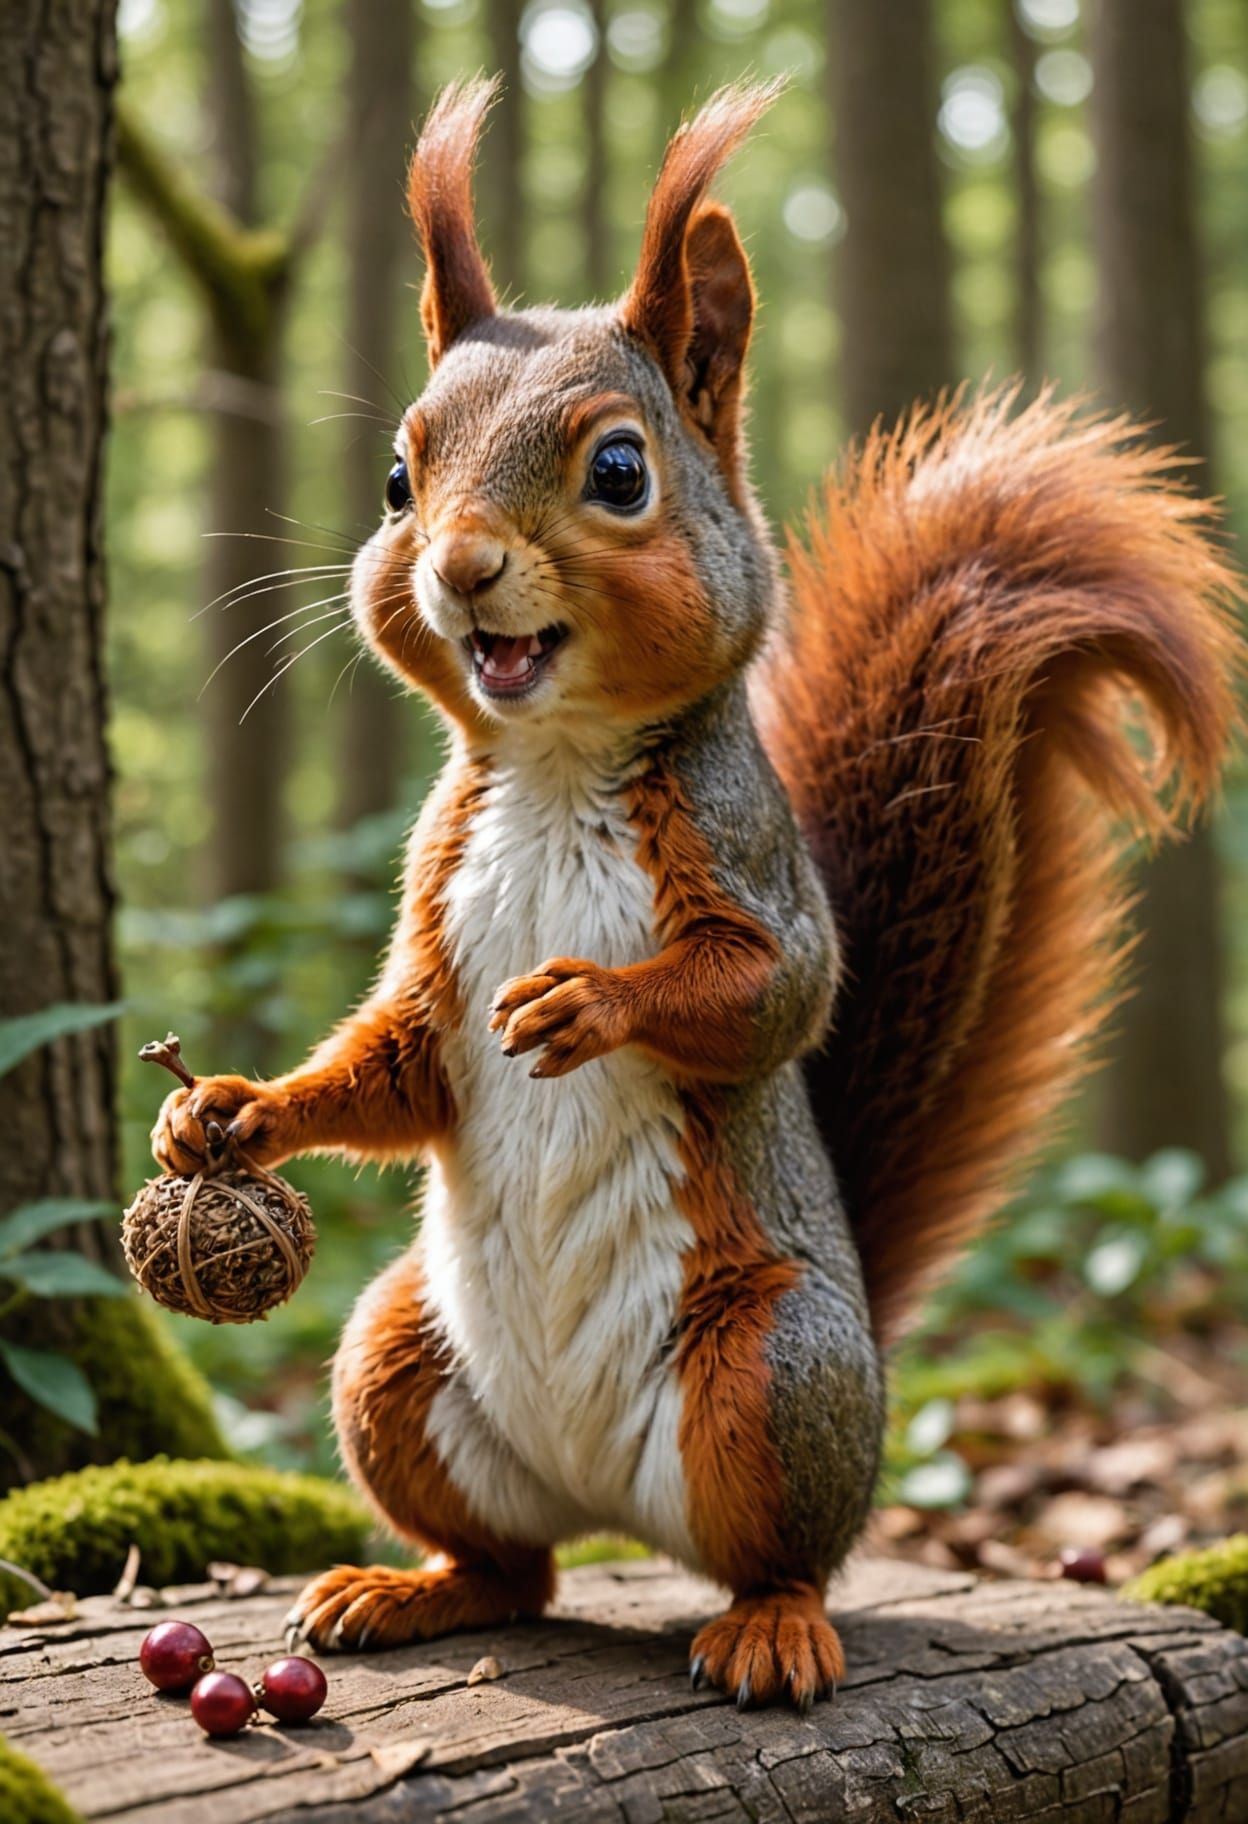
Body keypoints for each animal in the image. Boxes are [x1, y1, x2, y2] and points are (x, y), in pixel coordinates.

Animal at [152, 79, 1241, 1710]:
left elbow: (775, 994)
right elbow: (396, 1064)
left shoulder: (750, 860)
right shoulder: (432, 918)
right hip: (395, 1358)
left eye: (620, 472)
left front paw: (586, 1004)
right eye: (401, 479)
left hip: (771, 1374)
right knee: (514, 1567)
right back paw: (407, 1589)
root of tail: (611, 1505)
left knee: (781, 1554)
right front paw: (225, 1111)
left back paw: (772, 1632)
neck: (549, 770)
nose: (459, 567)